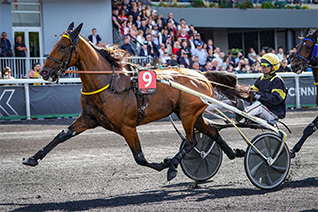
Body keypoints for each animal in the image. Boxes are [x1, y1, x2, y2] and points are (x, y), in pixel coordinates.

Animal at [22, 23, 241, 182]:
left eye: (62, 46)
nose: (44, 72)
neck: (109, 83)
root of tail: (201, 75)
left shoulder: (127, 126)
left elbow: (140, 157)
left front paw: (164, 164)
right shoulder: (88, 118)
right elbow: (61, 135)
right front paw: (32, 158)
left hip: (187, 114)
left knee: (191, 141)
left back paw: (173, 165)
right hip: (192, 114)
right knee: (212, 132)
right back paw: (233, 153)